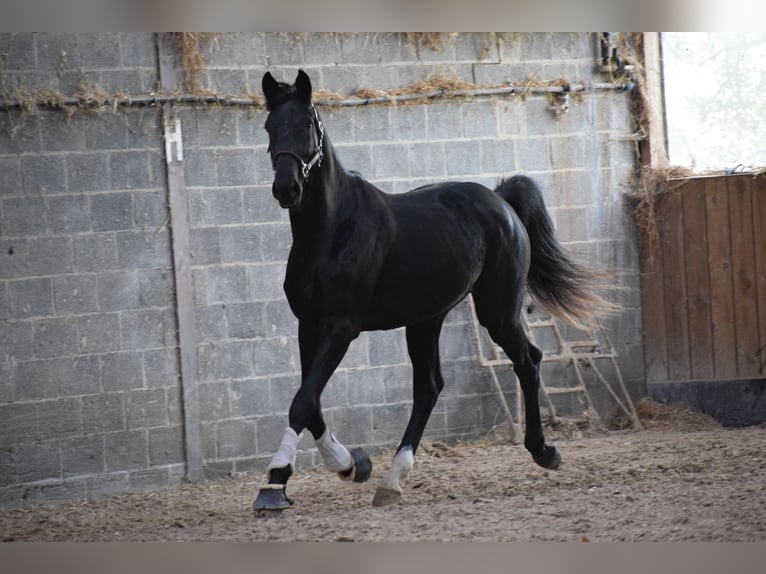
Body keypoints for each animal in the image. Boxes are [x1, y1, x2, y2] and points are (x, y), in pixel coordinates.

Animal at [253, 69, 614, 512]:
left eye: (306, 124)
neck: (331, 230)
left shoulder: (341, 327)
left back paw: (544, 452)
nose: (286, 188)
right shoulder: (309, 325)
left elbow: (304, 400)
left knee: (527, 360)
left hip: (496, 311)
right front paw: (351, 464)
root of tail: (501, 201)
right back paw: (392, 479)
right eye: (270, 127)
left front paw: (274, 484)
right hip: (426, 319)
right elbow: (311, 399)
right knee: (429, 387)